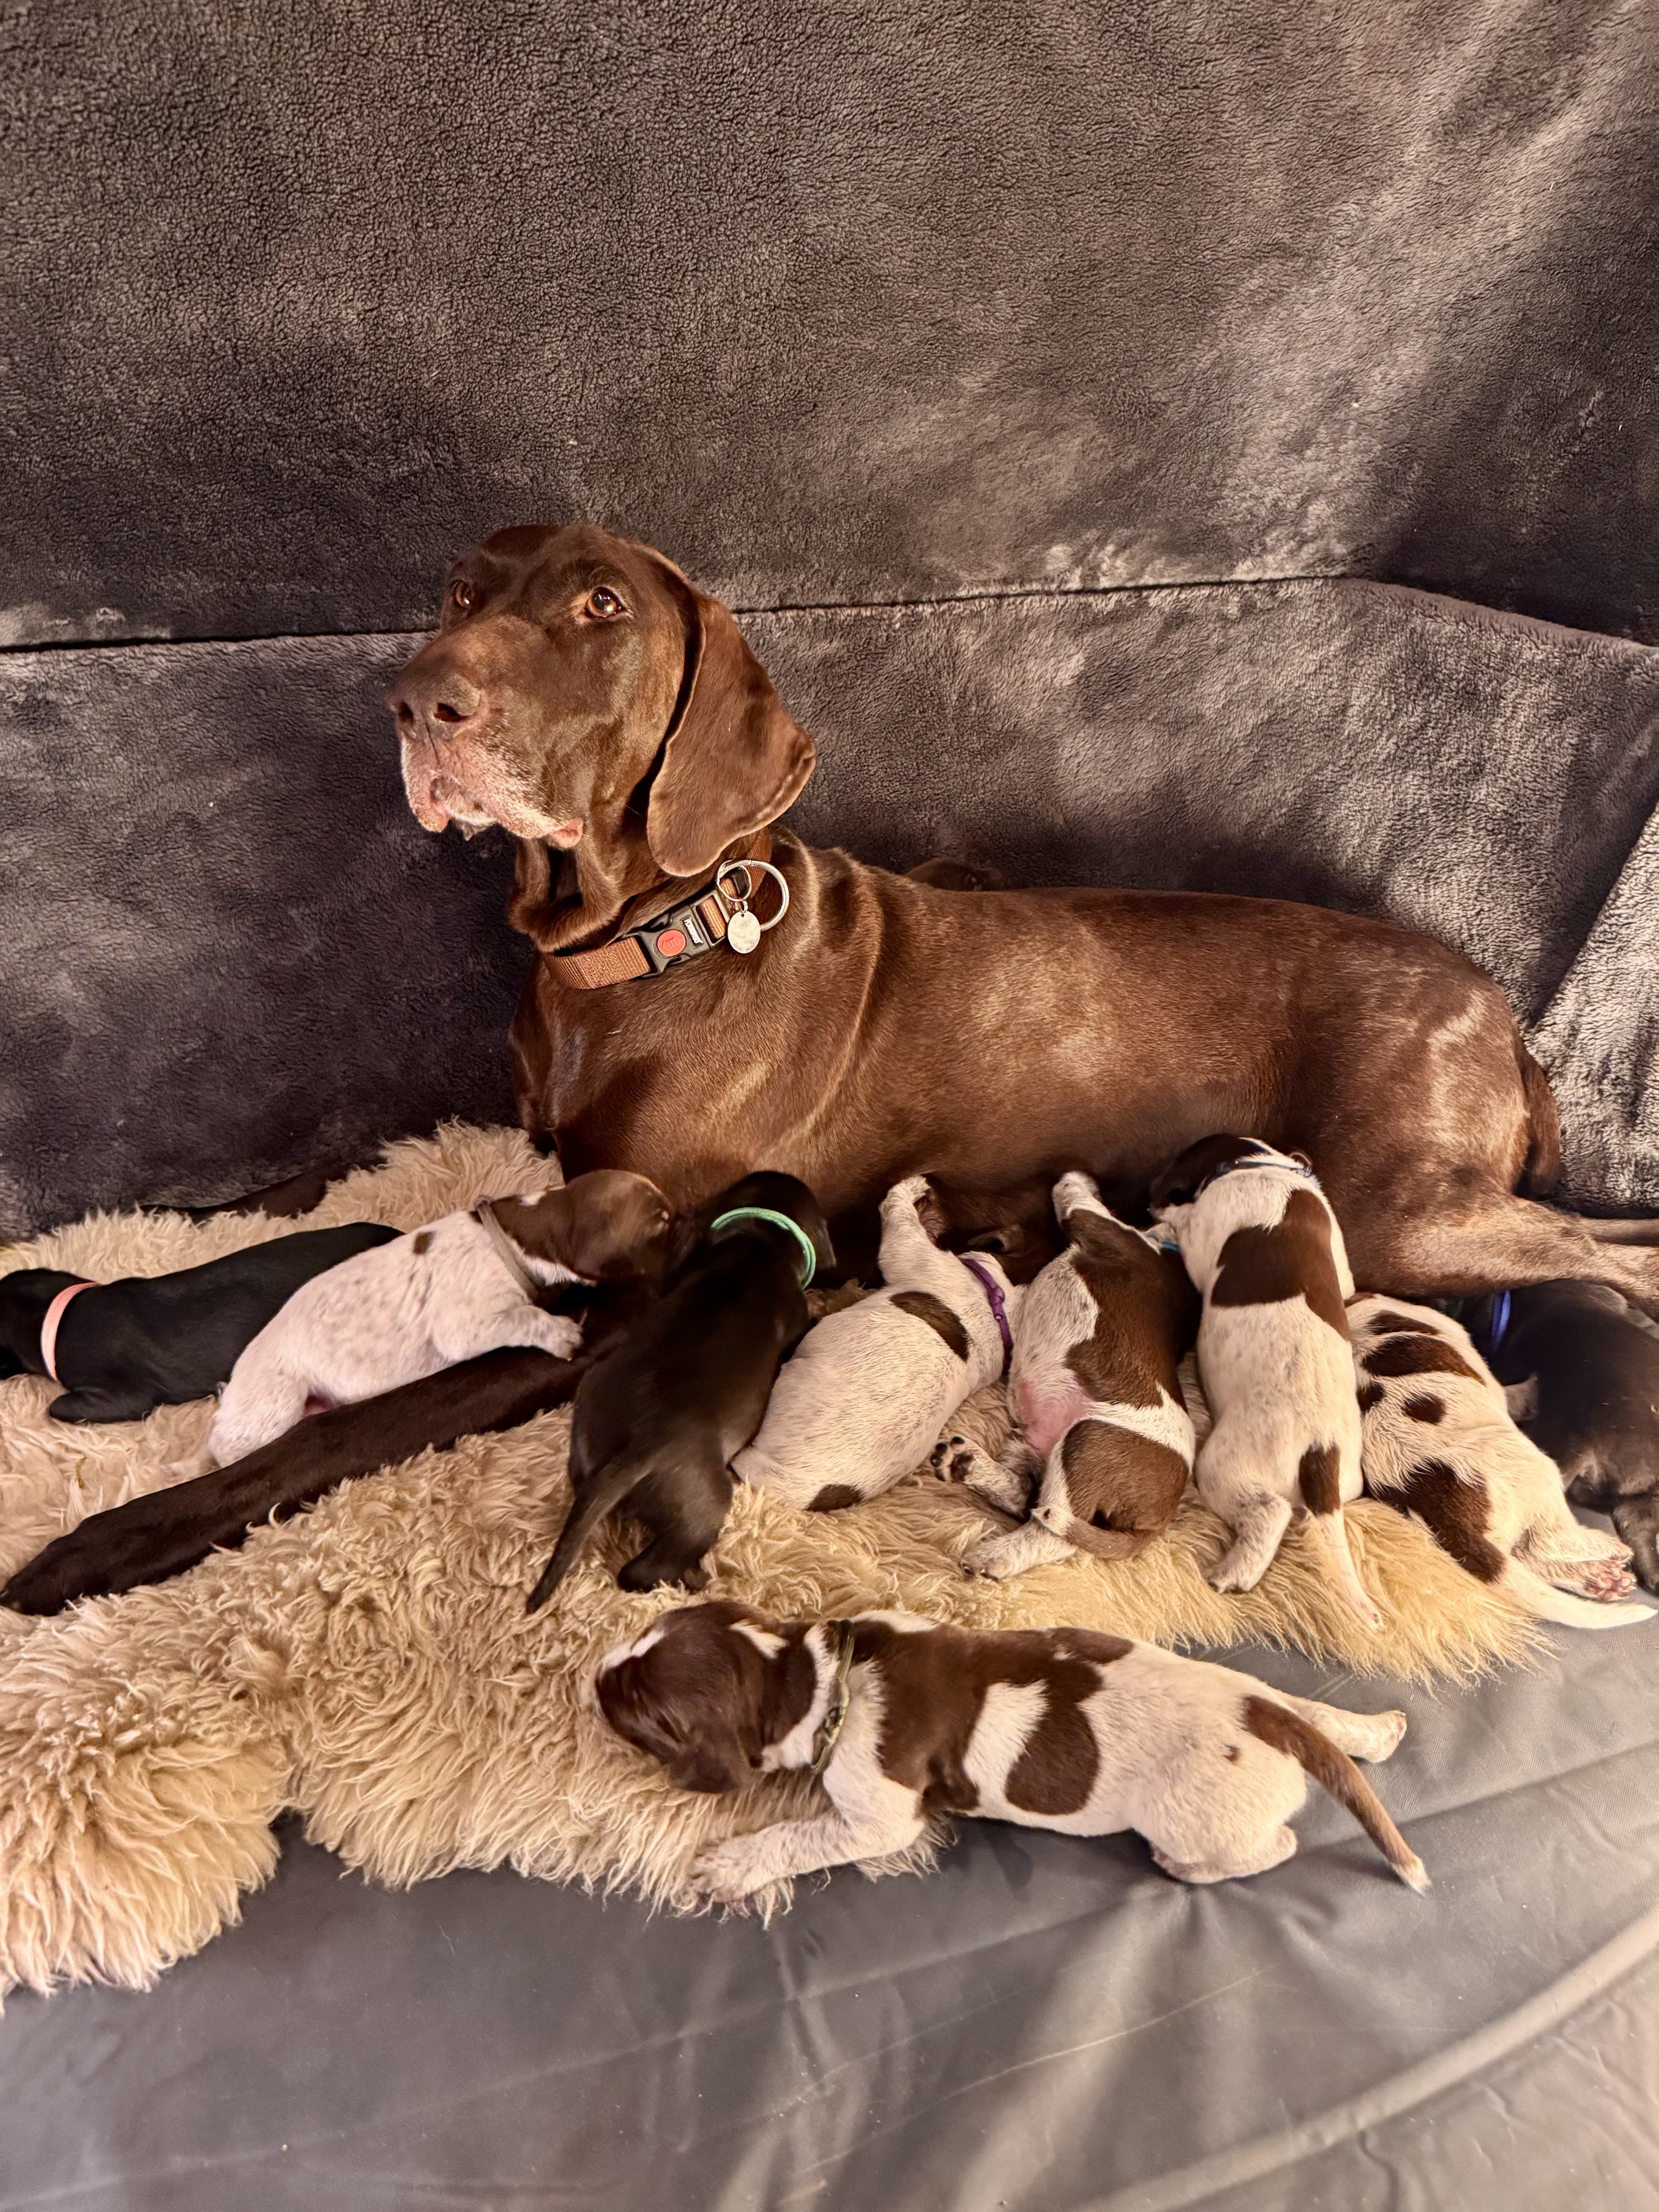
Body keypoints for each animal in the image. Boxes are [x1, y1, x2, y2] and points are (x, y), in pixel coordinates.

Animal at [170, 1171, 674, 1475]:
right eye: (662, 1223)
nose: (690, 1217)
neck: (521, 1231)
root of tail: (229, 1401)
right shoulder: (465, 1325)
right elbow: (524, 1317)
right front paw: (562, 1331)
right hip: (274, 1405)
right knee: (228, 1450)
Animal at [526, 1173, 835, 1604]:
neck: (762, 1239)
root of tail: (635, 1452)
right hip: (705, 1509)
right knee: (639, 1572)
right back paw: (695, 1580)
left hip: (588, 1420)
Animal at [596, 1601, 1427, 1897]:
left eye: (647, 1713)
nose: (591, 1676)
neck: (823, 1678)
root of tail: (1268, 1722)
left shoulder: (881, 1818)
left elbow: (799, 1836)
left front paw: (733, 1864)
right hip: (1277, 1700)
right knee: (1318, 1714)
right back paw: (1375, 1729)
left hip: (1191, 1819)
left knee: (1275, 1846)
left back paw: (1188, 1867)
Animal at [933, 1171, 1201, 1579]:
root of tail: (1160, 1521)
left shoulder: (1093, 1222)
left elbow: (1071, 1192)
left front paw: (1075, 1179)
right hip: (1029, 1446)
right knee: (1025, 1496)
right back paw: (967, 1465)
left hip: (1087, 1441)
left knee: (1051, 1534)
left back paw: (991, 1556)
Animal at [1150, 1135, 1380, 1626]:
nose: (1148, 1198)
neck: (1263, 1167)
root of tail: (1321, 1453)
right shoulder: (1341, 1264)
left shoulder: (1204, 1233)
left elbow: (1189, 1231)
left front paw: (1167, 1223)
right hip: (1346, 1485)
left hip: (1222, 1467)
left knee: (1269, 1513)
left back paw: (1233, 1573)